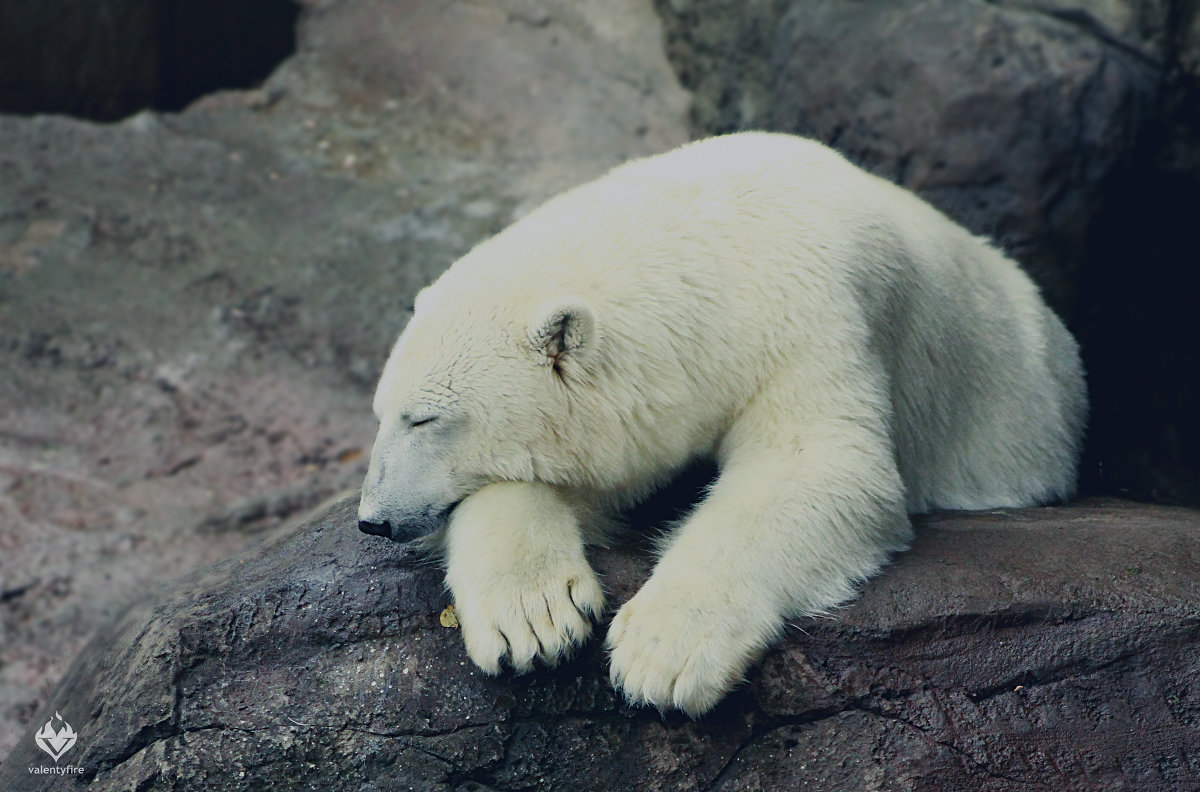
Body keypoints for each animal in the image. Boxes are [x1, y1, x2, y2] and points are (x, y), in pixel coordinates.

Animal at [355, 131, 1089, 720]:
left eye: (425, 417)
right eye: (382, 413)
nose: (373, 519)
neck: (710, 251)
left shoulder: (810, 315)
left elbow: (817, 464)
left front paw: (660, 654)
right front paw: (533, 620)